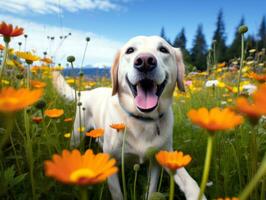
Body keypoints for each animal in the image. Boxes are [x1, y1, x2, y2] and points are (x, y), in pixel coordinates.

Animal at [53, 36, 205, 200]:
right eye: (130, 50)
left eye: (163, 49)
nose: (145, 61)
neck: (142, 119)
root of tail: (87, 92)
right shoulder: (111, 162)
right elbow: (117, 193)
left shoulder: (158, 158)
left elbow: (162, 186)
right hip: (77, 134)